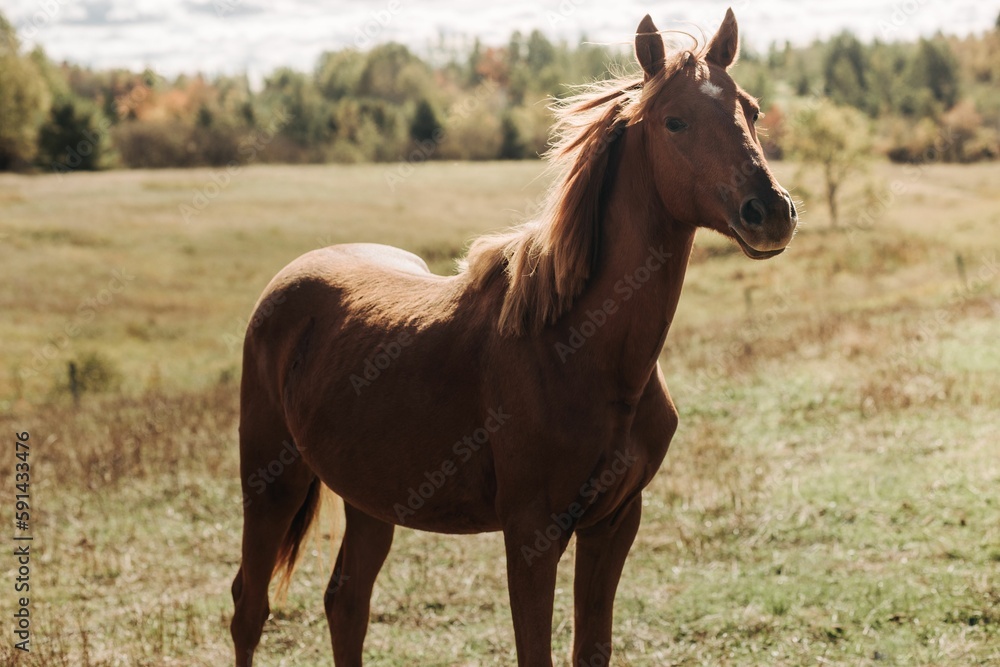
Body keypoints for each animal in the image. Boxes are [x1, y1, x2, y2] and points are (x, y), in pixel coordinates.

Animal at [230, 9, 798, 666]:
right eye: (674, 121)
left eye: (750, 110)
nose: (770, 212)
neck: (576, 349)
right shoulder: (532, 533)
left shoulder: (614, 523)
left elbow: (591, 649)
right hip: (271, 482)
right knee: (250, 607)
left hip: (370, 496)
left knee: (345, 602)